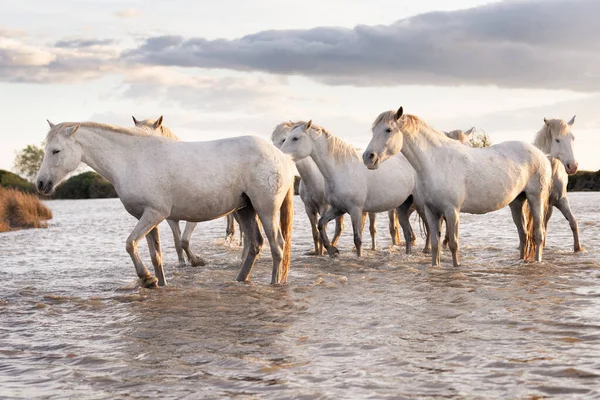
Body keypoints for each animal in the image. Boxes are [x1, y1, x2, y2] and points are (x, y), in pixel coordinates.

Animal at [36, 122, 294, 288]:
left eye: (56, 151)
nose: (41, 184)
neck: (132, 159)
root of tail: (282, 156)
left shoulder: (154, 214)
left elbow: (130, 244)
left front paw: (146, 279)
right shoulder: (149, 218)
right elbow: (155, 255)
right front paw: (159, 282)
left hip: (265, 209)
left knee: (277, 245)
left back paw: (274, 283)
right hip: (244, 210)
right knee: (255, 245)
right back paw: (240, 280)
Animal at [280, 120, 418, 256]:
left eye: (295, 138)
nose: (281, 155)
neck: (341, 170)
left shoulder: (355, 210)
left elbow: (357, 239)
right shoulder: (338, 208)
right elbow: (321, 224)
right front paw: (332, 250)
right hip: (402, 208)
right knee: (408, 234)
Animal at [364, 108, 552, 268]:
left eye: (388, 130)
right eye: (373, 130)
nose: (368, 157)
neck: (436, 162)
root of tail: (542, 155)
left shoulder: (452, 210)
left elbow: (453, 243)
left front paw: (456, 267)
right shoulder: (431, 211)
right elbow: (435, 244)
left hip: (536, 198)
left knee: (538, 234)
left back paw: (538, 261)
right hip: (517, 202)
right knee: (523, 235)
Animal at [536, 115, 580, 252]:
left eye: (573, 138)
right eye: (557, 140)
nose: (573, 166)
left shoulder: (561, 200)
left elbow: (573, 223)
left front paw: (578, 249)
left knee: (545, 224)